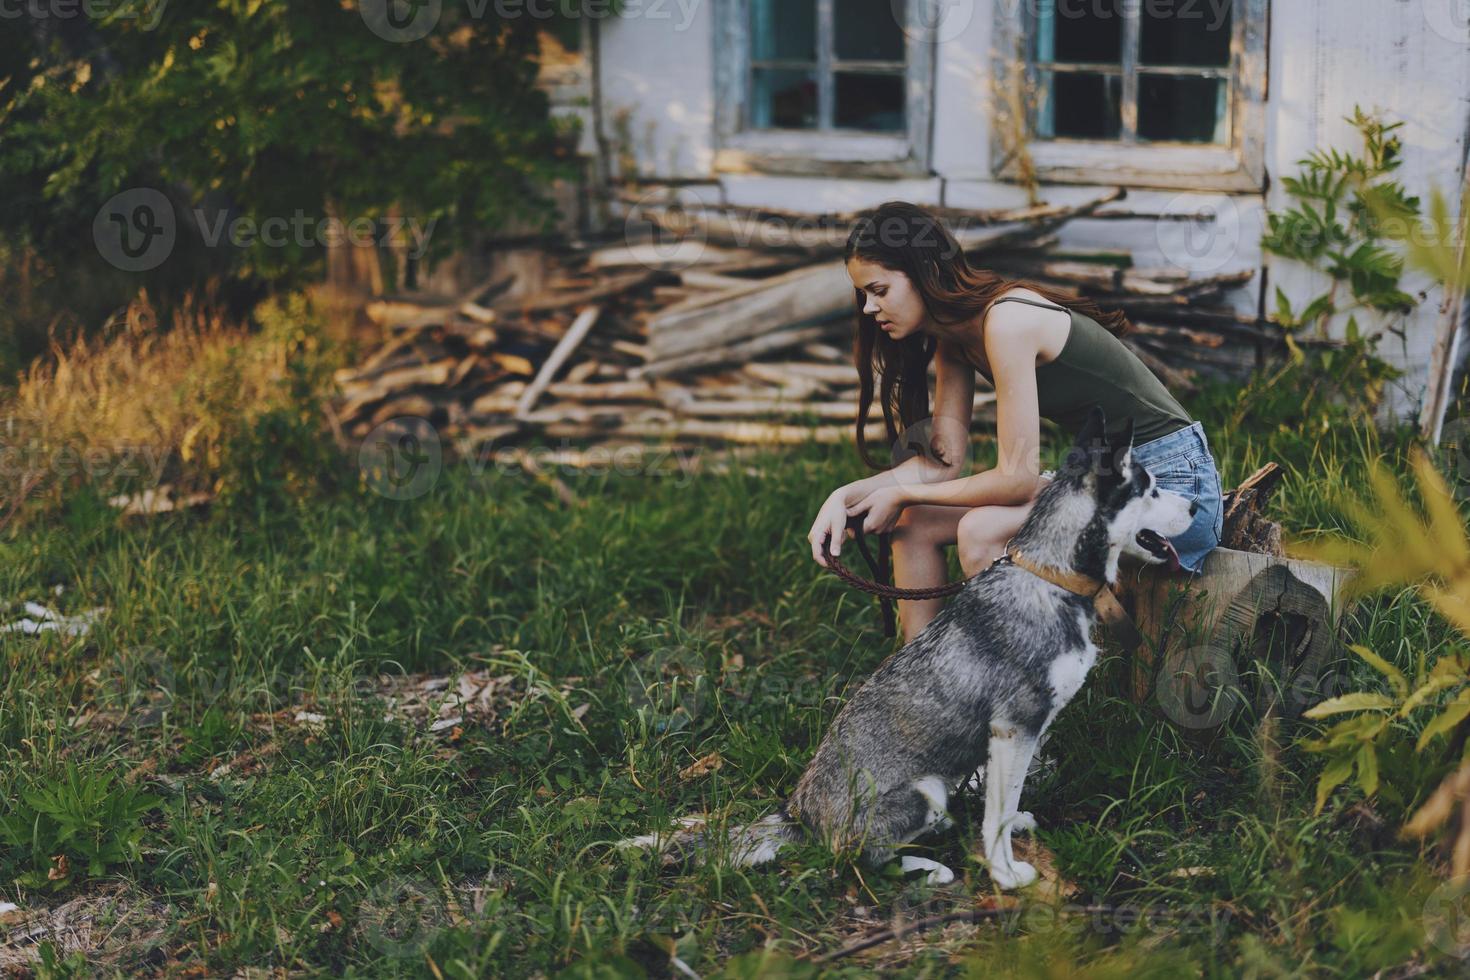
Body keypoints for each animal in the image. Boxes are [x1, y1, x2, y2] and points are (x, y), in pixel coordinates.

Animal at [620, 405, 1193, 887]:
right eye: (1152, 488)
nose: (1194, 505)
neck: (1049, 576)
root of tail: (799, 815)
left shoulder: (1016, 738)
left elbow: (1005, 803)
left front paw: (1014, 831)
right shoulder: (1015, 727)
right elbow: (997, 815)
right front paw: (1006, 875)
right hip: (923, 793)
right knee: (853, 861)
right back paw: (928, 867)